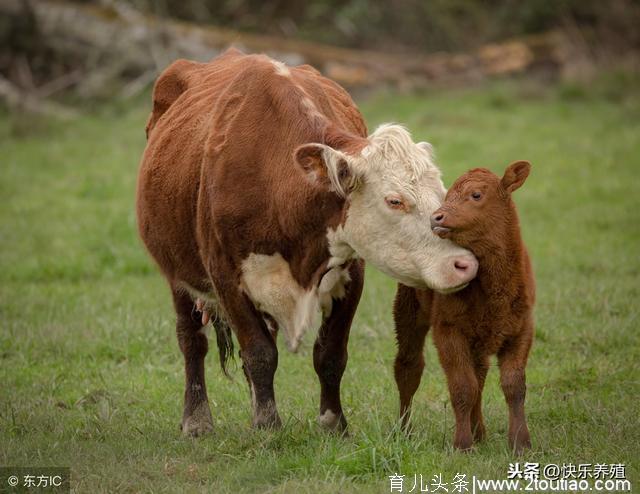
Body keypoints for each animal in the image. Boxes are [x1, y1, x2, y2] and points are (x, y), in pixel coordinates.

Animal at [135, 49, 478, 436]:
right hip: (177, 274)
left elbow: (329, 354)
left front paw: (333, 423)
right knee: (192, 339)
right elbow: (259, 353)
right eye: (394, 200)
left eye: (441, 194)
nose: (464, 264)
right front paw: (268, 426)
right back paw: (196, 420)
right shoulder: (225, 276)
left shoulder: (351, 273)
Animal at [396, 161, 536, 452]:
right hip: (408, 311)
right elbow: (462, 387)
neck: (495, 290)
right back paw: (404, 432)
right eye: (447, 196)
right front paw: (462, 444)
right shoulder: (448, 330)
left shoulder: (522, 329)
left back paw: (479, 431)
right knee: (408, 367)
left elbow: (514, 385)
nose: (436, 217)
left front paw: (520, 442)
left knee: (479, 376)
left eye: (476, 195)